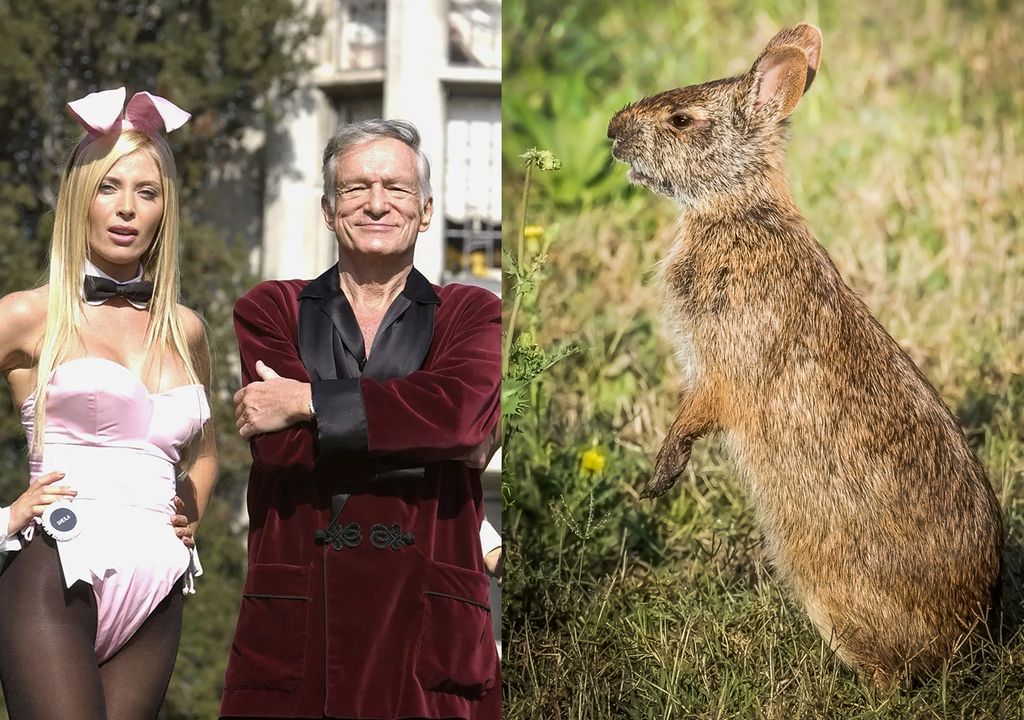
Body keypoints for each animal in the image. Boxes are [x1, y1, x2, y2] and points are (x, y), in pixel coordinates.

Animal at [606, 23, 1002, 687]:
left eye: (682, 120)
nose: (612, 132)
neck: (736, 208)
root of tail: (970, 642)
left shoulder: (725, 364)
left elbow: (698, 411)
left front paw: (659, 477)